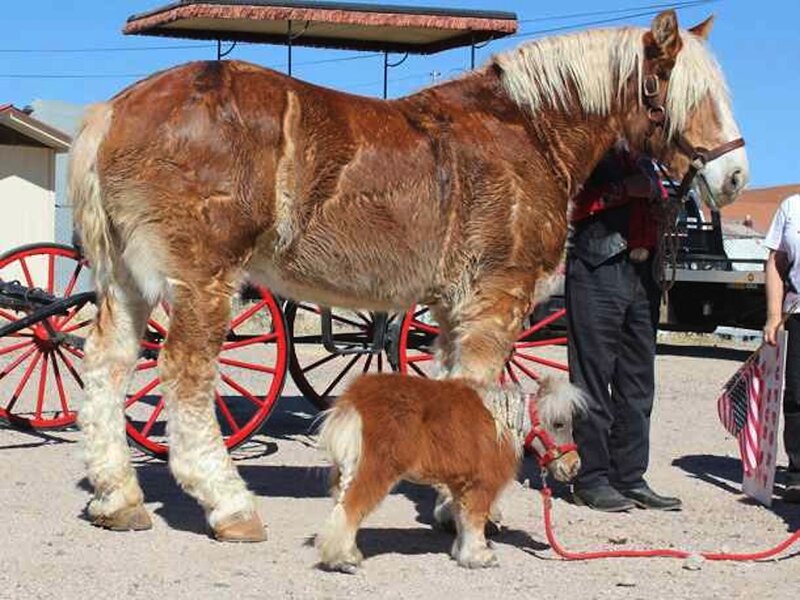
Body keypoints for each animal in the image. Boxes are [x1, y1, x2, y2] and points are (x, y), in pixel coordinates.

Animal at [68, 10, 748, 540]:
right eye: (685, 91)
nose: (735, 175)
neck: (526, 131)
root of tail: (115, 109)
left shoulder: (448, 309)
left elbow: (450, 388)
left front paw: (450, 501)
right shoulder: (494, 300)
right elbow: (480, 391)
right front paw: (471, 512)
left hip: (127, 282)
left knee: (107, 365)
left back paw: (118, 498)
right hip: (203, 281)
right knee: (185, 374)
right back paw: (229, 504)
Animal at [316, 374, 584, 571]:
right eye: (559, 424)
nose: (574, 466)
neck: (503, 422)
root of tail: (353, 401)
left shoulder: (461, 484)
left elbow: (462, 518)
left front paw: (463, 553)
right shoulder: (481, 485)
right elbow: (475, 520)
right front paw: (480, 557)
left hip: (349, 470)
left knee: (340, 509)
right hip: (374, 472)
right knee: (351, 509)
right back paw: (342, 560)